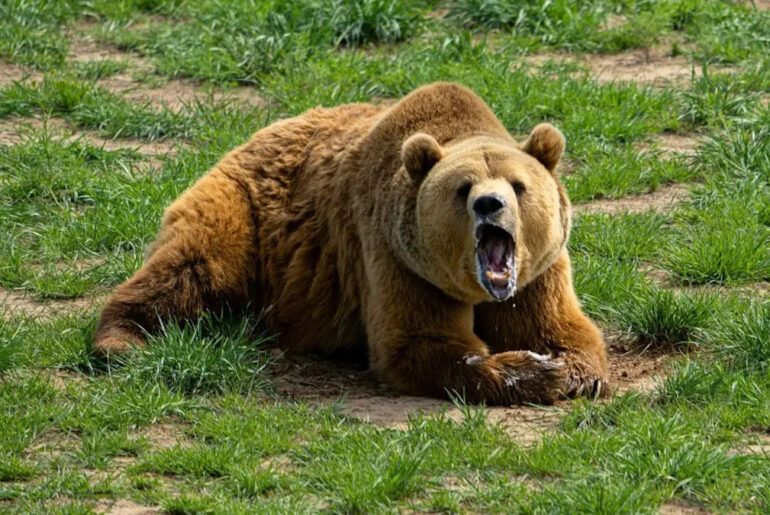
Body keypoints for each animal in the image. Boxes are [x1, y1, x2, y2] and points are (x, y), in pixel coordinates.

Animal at [93, 82, 609, 405]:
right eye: (463, 188)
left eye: (518, 185)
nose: (489, 204)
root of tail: (252, 134)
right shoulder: (395, 255)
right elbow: (419, 342)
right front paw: (536, 371)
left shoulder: (538, 271)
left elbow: (560, 327)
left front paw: (570, 371)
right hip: (244, 213)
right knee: (190, 267)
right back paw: (123, 339)